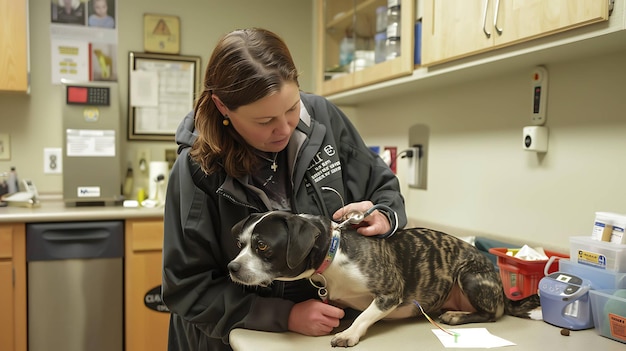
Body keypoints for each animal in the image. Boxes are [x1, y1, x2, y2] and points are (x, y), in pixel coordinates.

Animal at [227, 212, 540, 346]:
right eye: (239, 244)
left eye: (262, 246)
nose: (231, 267)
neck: (334, 250)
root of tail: (501, 287)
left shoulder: (390, 293)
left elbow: (365, 315)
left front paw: (349, 333)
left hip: (470, 275)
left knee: (492, 314)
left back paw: (457, 315)